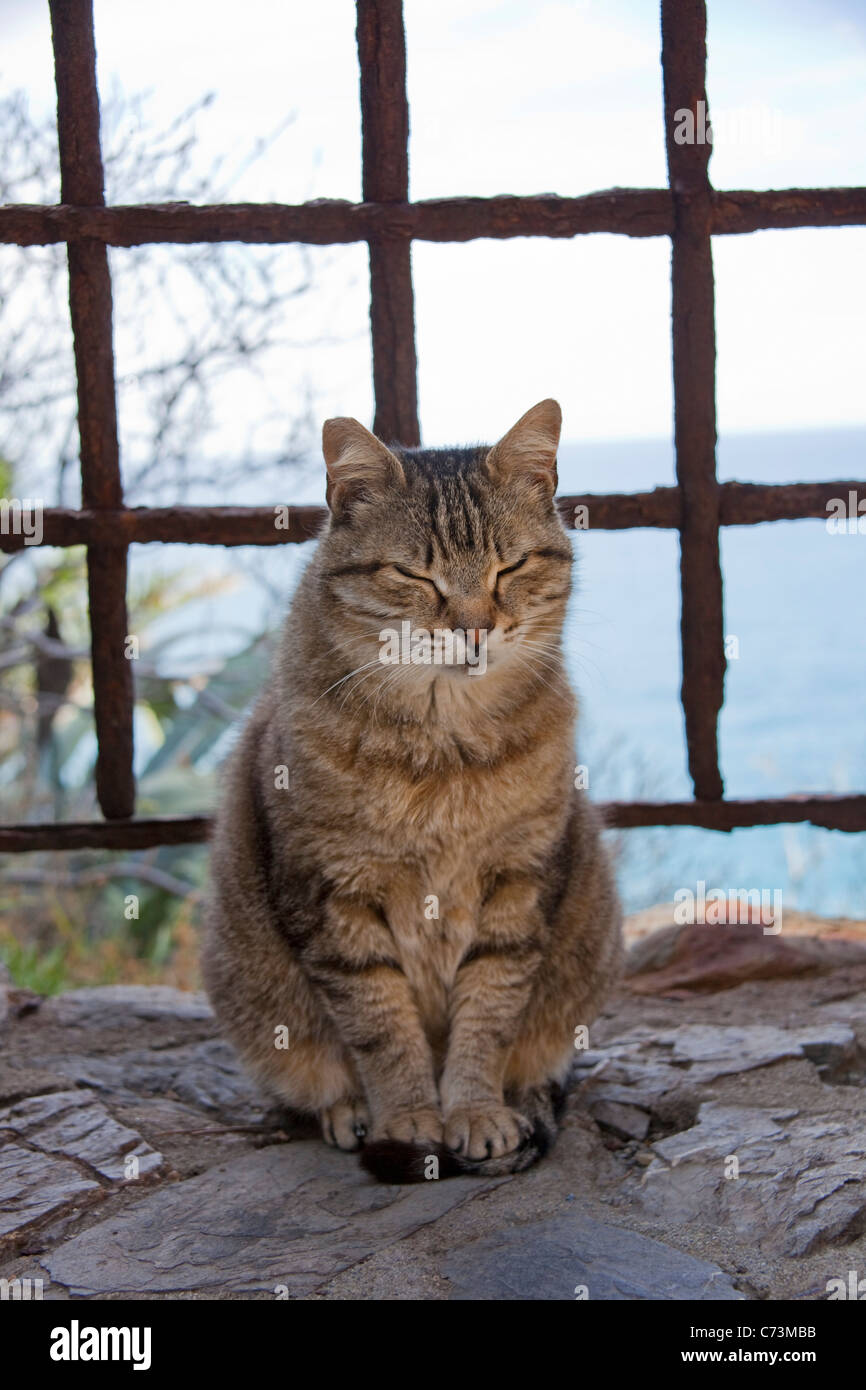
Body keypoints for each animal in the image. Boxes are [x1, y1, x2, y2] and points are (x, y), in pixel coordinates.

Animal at [202, 397, 622, 1178]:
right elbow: (382, 1027)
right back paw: (349, 1112)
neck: (441, 751)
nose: (475, 630)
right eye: (414, 575)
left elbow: (487, 1016)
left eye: (510, 566)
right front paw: (408, 1118)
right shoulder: (333, 898)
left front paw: (476, 1111)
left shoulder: (517, 886)